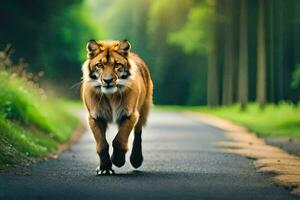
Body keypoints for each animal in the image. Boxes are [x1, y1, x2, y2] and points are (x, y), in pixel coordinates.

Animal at [81, 39, 154, 174]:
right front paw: (105, 168)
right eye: (100, 65)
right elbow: (102, 144)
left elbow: (119, 139)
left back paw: (136, 160)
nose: (108, 80)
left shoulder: (130, 114)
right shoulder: (95, 117)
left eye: (117, 65)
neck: (110, 96)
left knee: (138, 133)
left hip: (143, 110)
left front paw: (118, 160)